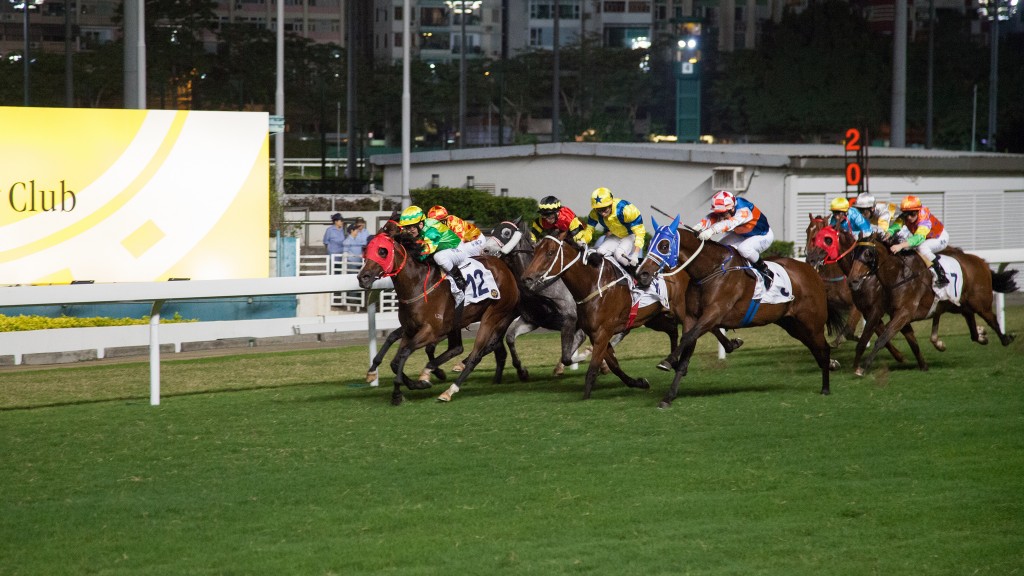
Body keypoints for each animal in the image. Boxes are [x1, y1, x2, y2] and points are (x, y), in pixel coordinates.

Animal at [358, 229, 520, 403]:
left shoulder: (431, 331)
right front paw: (415, 384)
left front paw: (398, 392)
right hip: (458, 321)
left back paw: (449, 391)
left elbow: (405, 352)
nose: (363, 277)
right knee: (457, 348)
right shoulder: (410, 330)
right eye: (366, 250)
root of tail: (504, 267)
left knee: (475, 355)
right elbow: (395, 361)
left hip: (493, 316)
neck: (417, 285)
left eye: (382, 251)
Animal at [634, 222, 843, 405]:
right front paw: (668, 396)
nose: (642, 273)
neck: (710, 271)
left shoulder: (714, 313)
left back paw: (826, 387)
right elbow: (687, 349)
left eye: (664, 245)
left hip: (811, 322)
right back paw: (831, 367)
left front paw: (667, 361)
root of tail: (812, 271)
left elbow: (687, 337)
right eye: (650, 244)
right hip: (792, 324)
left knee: (823, 349)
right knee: (817, 349)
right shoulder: (692, 317)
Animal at [802, 215, 909, 362]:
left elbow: (849, 331)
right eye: (808, 232)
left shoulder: (860, 307)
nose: (810, 259)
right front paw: (899, 356)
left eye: (827, 239)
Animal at [847, 235, 1015, 375]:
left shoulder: (903, 313)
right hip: (959, 305)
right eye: (854, 253)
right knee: (972, 326)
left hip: (980, 303)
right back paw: (981, 336)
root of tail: (982, 262)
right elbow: (912, 342)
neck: (899, 276)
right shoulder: (898, 314)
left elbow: (882, 338)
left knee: (992, 320)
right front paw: (923, 366)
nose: (852, 280)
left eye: (868, 254)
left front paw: (863, 367)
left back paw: (1006, 338)